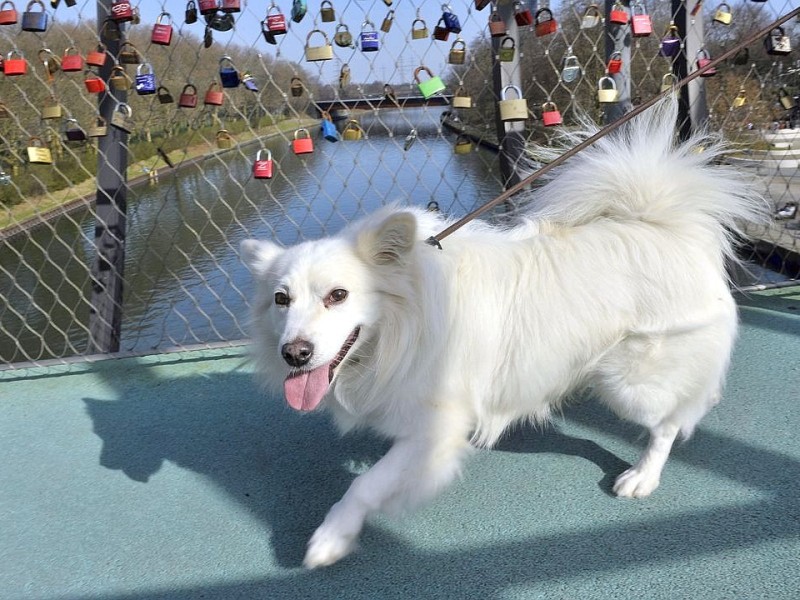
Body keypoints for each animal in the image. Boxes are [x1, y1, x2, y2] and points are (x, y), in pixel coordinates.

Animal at [241, 98, 764, 568]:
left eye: (339, 295)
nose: (294, 354)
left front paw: (331, 538)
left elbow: (364, 485)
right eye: (281, 300)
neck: (402, 326)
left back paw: (642, 477)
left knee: (671, 422)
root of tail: (673, 229)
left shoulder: (436, 431)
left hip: (630, 383)